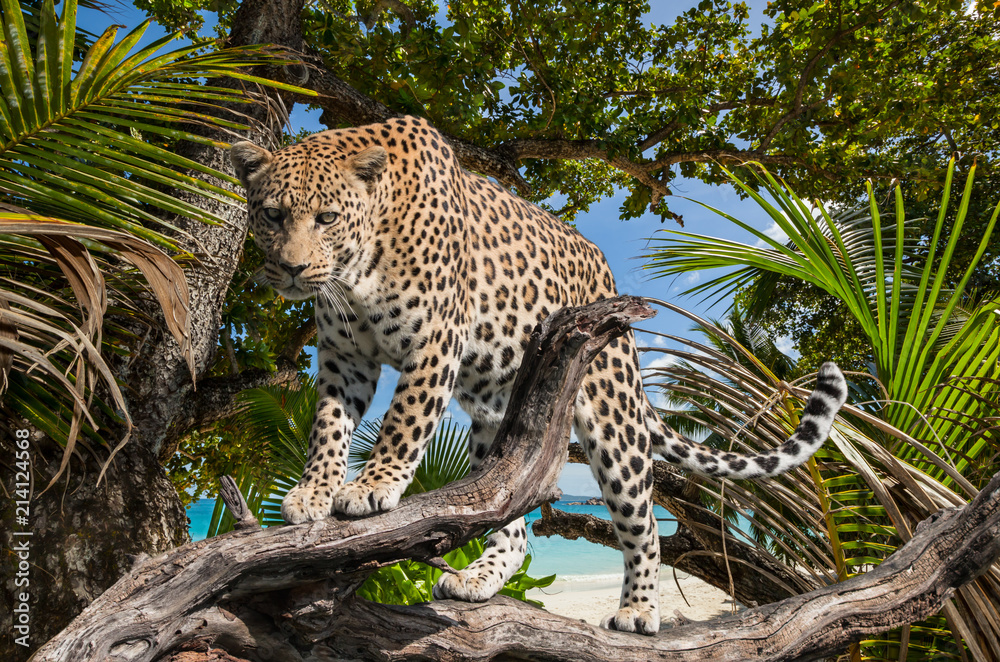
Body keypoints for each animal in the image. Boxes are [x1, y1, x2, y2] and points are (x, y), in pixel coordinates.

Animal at [230, 115, 847, 635]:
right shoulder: (344, 356)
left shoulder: (435, 341)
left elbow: (404, 420)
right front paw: (313, 491)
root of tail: (606, 273)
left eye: (327, 218)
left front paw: (369, 487)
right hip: (499, 424)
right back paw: (477, 579)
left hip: (612, 413)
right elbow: (327, 426)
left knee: (644, 525)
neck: (359, 267)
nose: (290, 268)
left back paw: (638, 611)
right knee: (512, 523)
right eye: (273, 215)